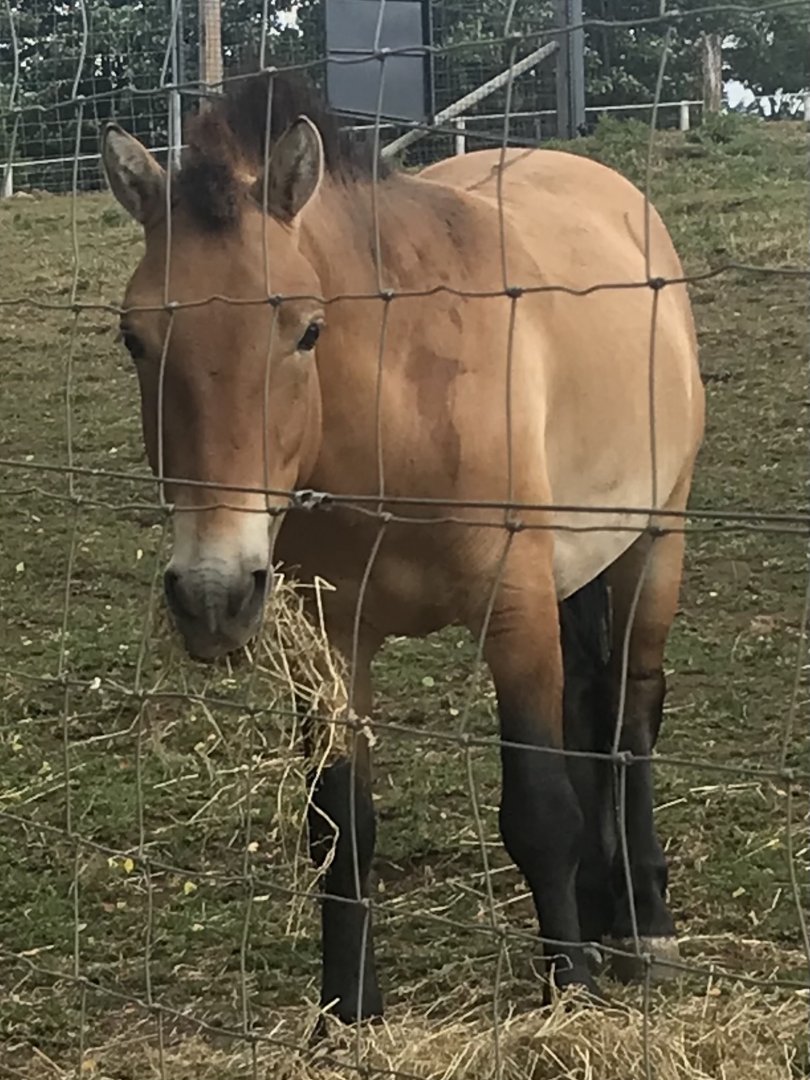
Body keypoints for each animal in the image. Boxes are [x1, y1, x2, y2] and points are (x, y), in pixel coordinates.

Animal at [100, 69, 704, 1021]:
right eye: (134, 337)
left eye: (306, 330)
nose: (212, 594)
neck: (399, 420)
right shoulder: (331, 642)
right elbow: (340, 828)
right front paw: (347, 1016)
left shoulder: (515, 615)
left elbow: (539, 813)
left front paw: (566, 993)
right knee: (592, 706)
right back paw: (605, 909)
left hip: (654, 544)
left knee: (628, 718)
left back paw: (643, 925)